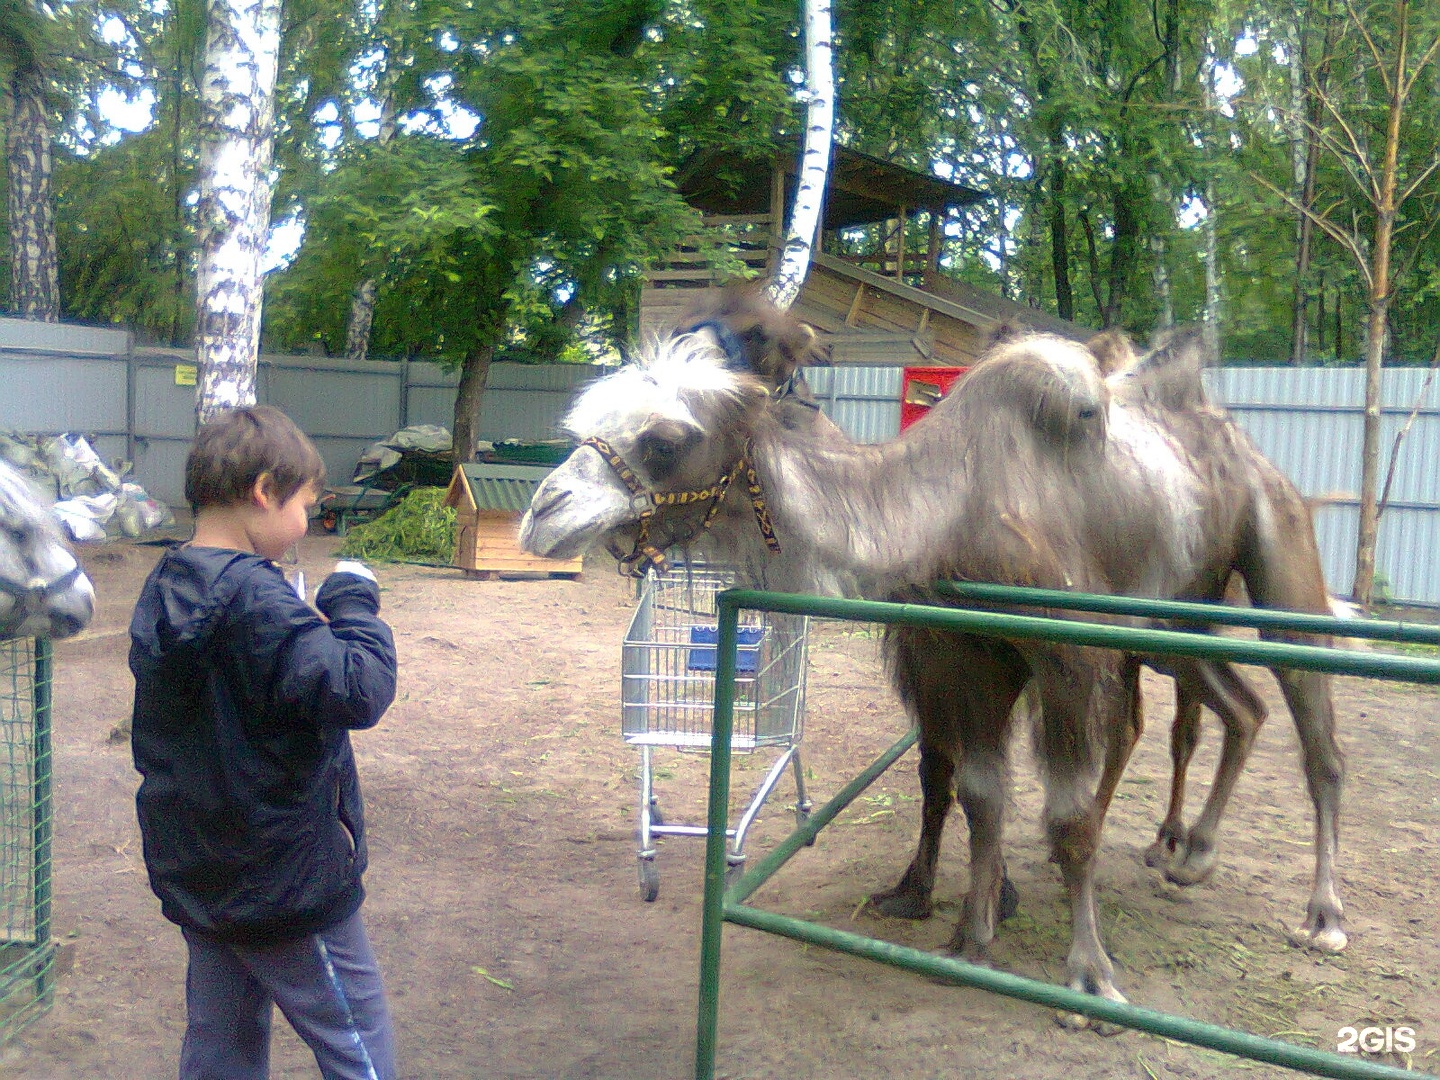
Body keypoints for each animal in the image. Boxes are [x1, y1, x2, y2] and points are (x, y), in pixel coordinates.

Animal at [521, 293, 1347, 1008]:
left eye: (664, 440)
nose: (542, 513)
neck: (954, 513)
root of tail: (1237, 440)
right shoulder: (957, 651)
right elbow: (977, 791)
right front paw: (969, 939)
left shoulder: (1068, 657)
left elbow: (1068, 814)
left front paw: (1089, 975)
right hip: (1177, 624)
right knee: (1241, 708)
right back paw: (1193, 853)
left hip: (1278, 567)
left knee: (1314, 735)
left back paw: (1322, 916)